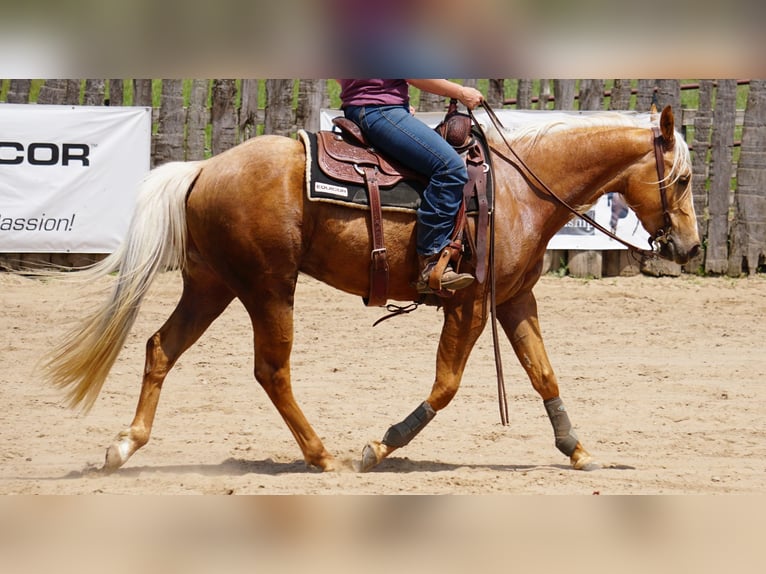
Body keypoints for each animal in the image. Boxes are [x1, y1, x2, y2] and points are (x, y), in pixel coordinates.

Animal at [42, 105, 699, 473]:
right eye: (684, 179)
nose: (690, 248)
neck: (520, 190)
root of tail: (203, 168)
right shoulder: (467, 303)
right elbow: (446, 385)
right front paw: (381, 446)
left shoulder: (514, 299)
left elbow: (544, 374)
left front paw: (578, 450)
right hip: (267, 287)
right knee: (271, 370)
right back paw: (323, 456)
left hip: (213, 284)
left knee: (161, 348)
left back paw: (123, 448)